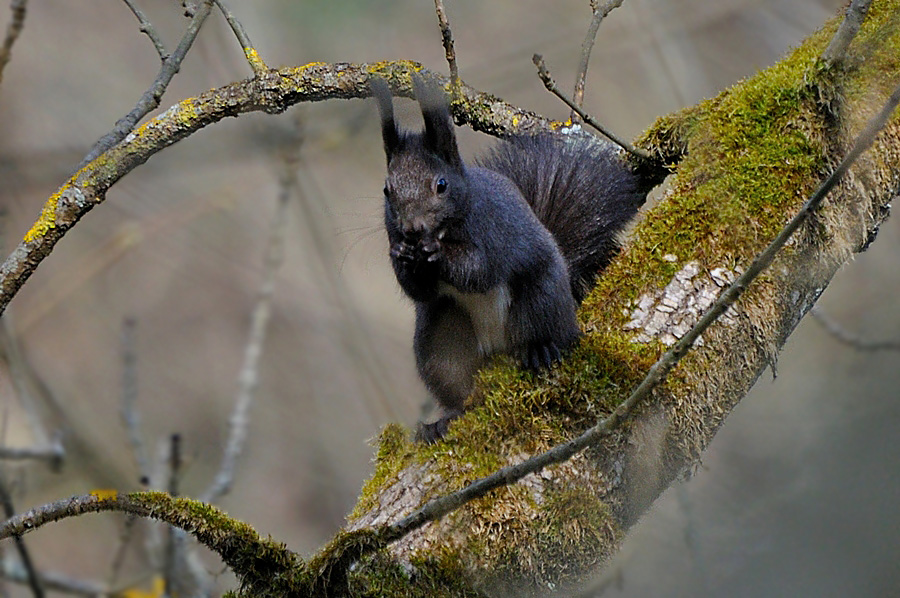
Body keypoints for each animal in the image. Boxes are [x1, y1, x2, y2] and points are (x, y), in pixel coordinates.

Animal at [370, 75, 648, 442]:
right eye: (387, 190)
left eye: (441, 185)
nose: (412, 230)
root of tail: (496, 346)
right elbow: (418, 290)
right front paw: (402, 256)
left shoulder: (494, 231)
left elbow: (478, 270)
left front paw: (438, 254)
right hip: (442, 340)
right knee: (459, 385)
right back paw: (444, 420)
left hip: (538, 300)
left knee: (548, 332)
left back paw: (541, 350)